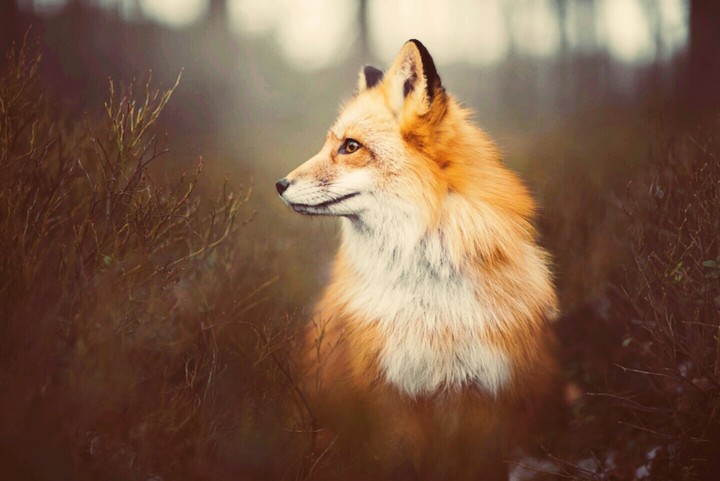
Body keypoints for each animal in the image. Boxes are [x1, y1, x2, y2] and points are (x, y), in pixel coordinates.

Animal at [276, 39, 558, 480]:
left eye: (350, 146)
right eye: (330, 144)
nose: (280, 185)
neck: (432, 305)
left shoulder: (482, 396)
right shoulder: (391, 397)